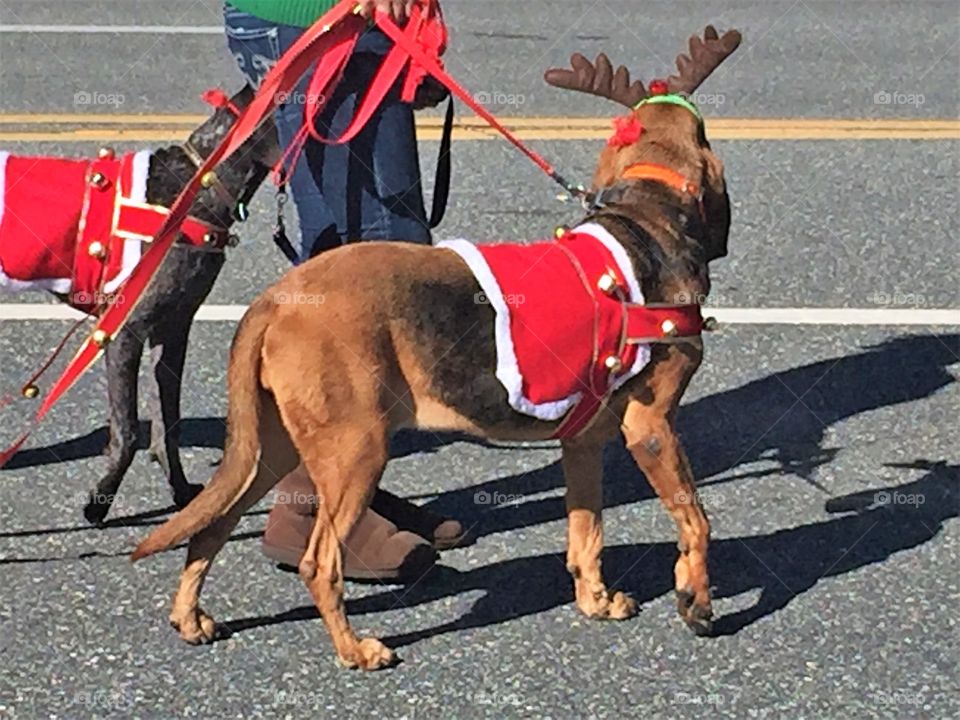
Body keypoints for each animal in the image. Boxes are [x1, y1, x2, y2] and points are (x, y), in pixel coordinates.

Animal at [129, 26, 744, 668]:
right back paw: (355, 650)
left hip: (268, 449)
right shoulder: (651, 427)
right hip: (356, 452)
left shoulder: (583, 442)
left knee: (210, 526)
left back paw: (190, 616)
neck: (647, 217)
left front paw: (596, 601)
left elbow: (587, 534)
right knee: (319, 564)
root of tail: (276, 299)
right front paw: (698, 603)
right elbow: (696, 522)